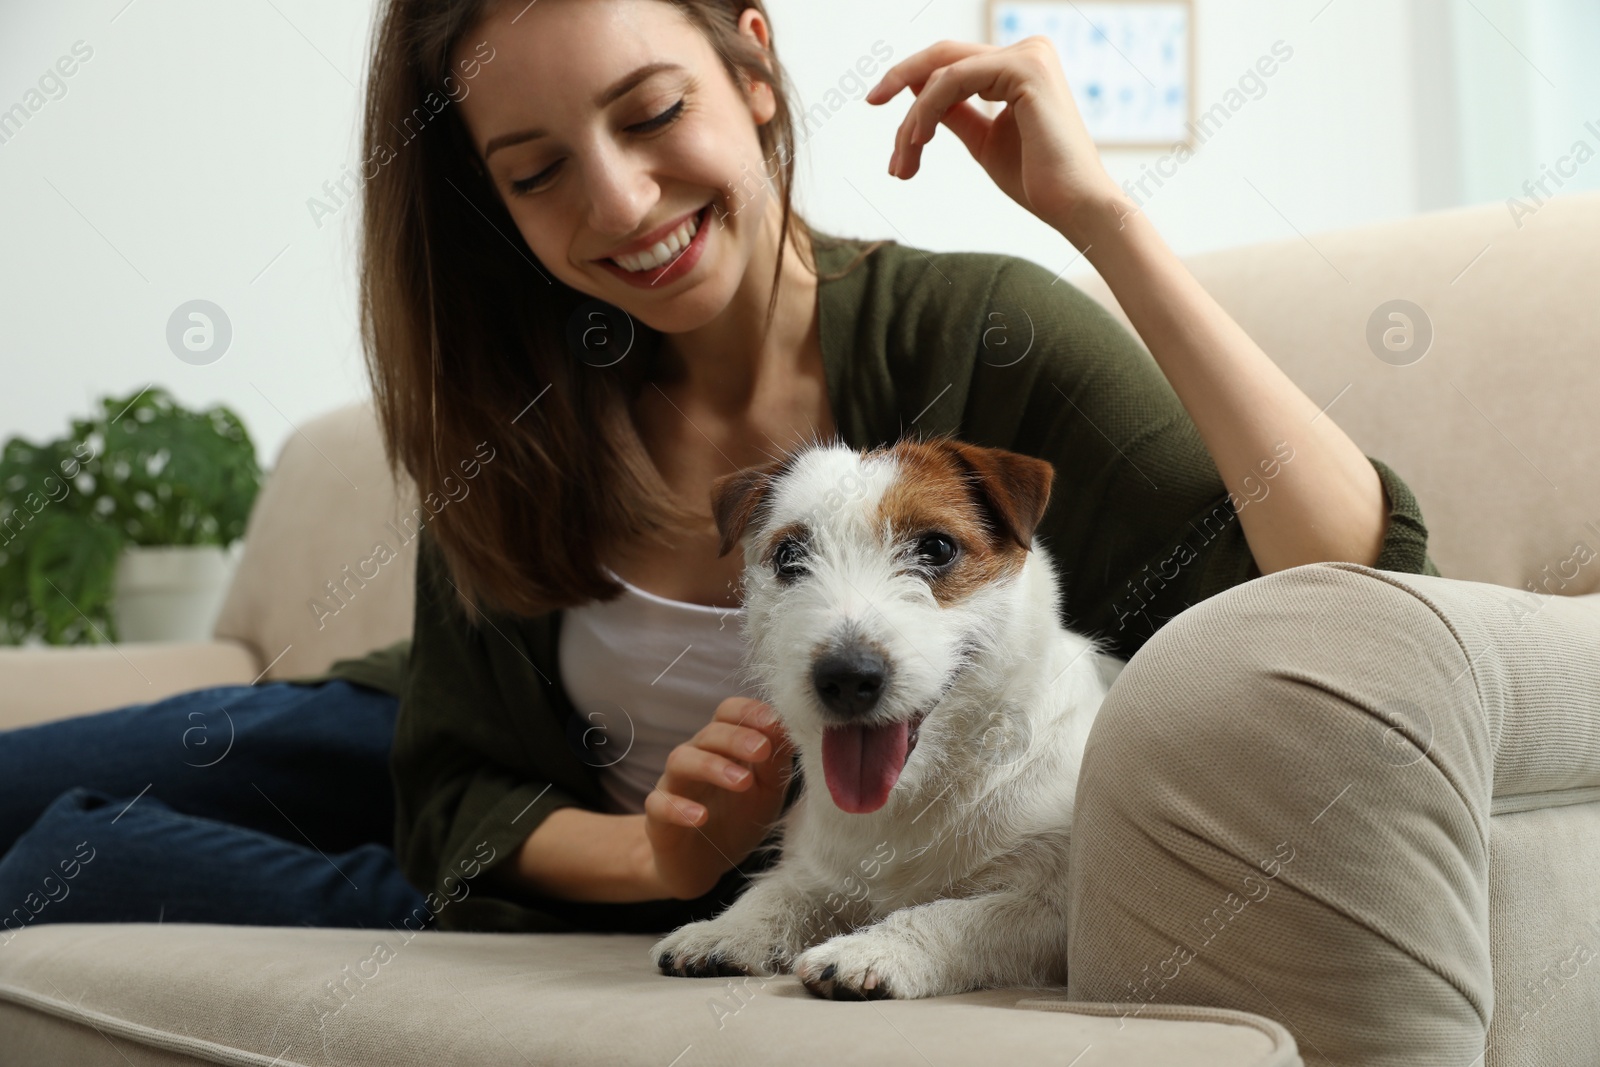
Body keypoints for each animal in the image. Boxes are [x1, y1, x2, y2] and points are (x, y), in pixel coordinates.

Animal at [649, 435, 1126, 1004]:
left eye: (937, 548)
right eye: (789, 556)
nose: (846, 677)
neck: (919, 794)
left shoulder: (1055, 912)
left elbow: (960, 916)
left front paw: (873, 950)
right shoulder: (823, 874)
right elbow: (776, 892)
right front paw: (727, 930)